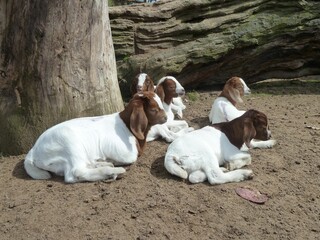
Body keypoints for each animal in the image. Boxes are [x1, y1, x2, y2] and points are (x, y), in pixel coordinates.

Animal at [24, 91, 168, 183]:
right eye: (154, 109)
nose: (166, 117)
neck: (126, 126)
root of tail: (33, 151)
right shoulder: (120, 150)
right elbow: (131, 158)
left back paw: (103, 164)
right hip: (70, 145)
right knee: (76, 173)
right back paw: (113, 171)